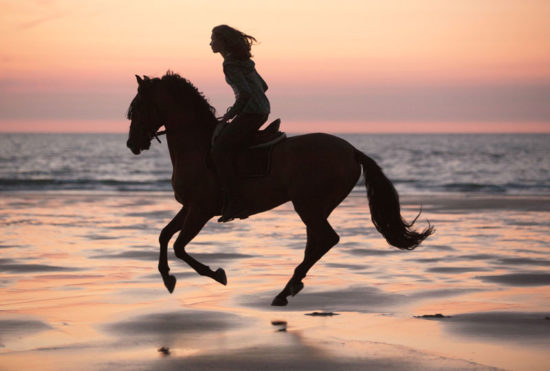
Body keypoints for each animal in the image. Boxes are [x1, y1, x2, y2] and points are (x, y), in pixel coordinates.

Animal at [126, 71, 436, 306]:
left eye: (138, 107)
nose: (132, 144)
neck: (197, 145)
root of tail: (351, 151)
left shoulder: (200, 210)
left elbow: (179, 246)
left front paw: (215, 274)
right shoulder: (189, 207)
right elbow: (164, 236)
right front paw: (167, 276)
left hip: (307, 205)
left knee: (326, 240)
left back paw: (285, 290)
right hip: (315, 208)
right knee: (317, 243)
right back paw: (290, 287)